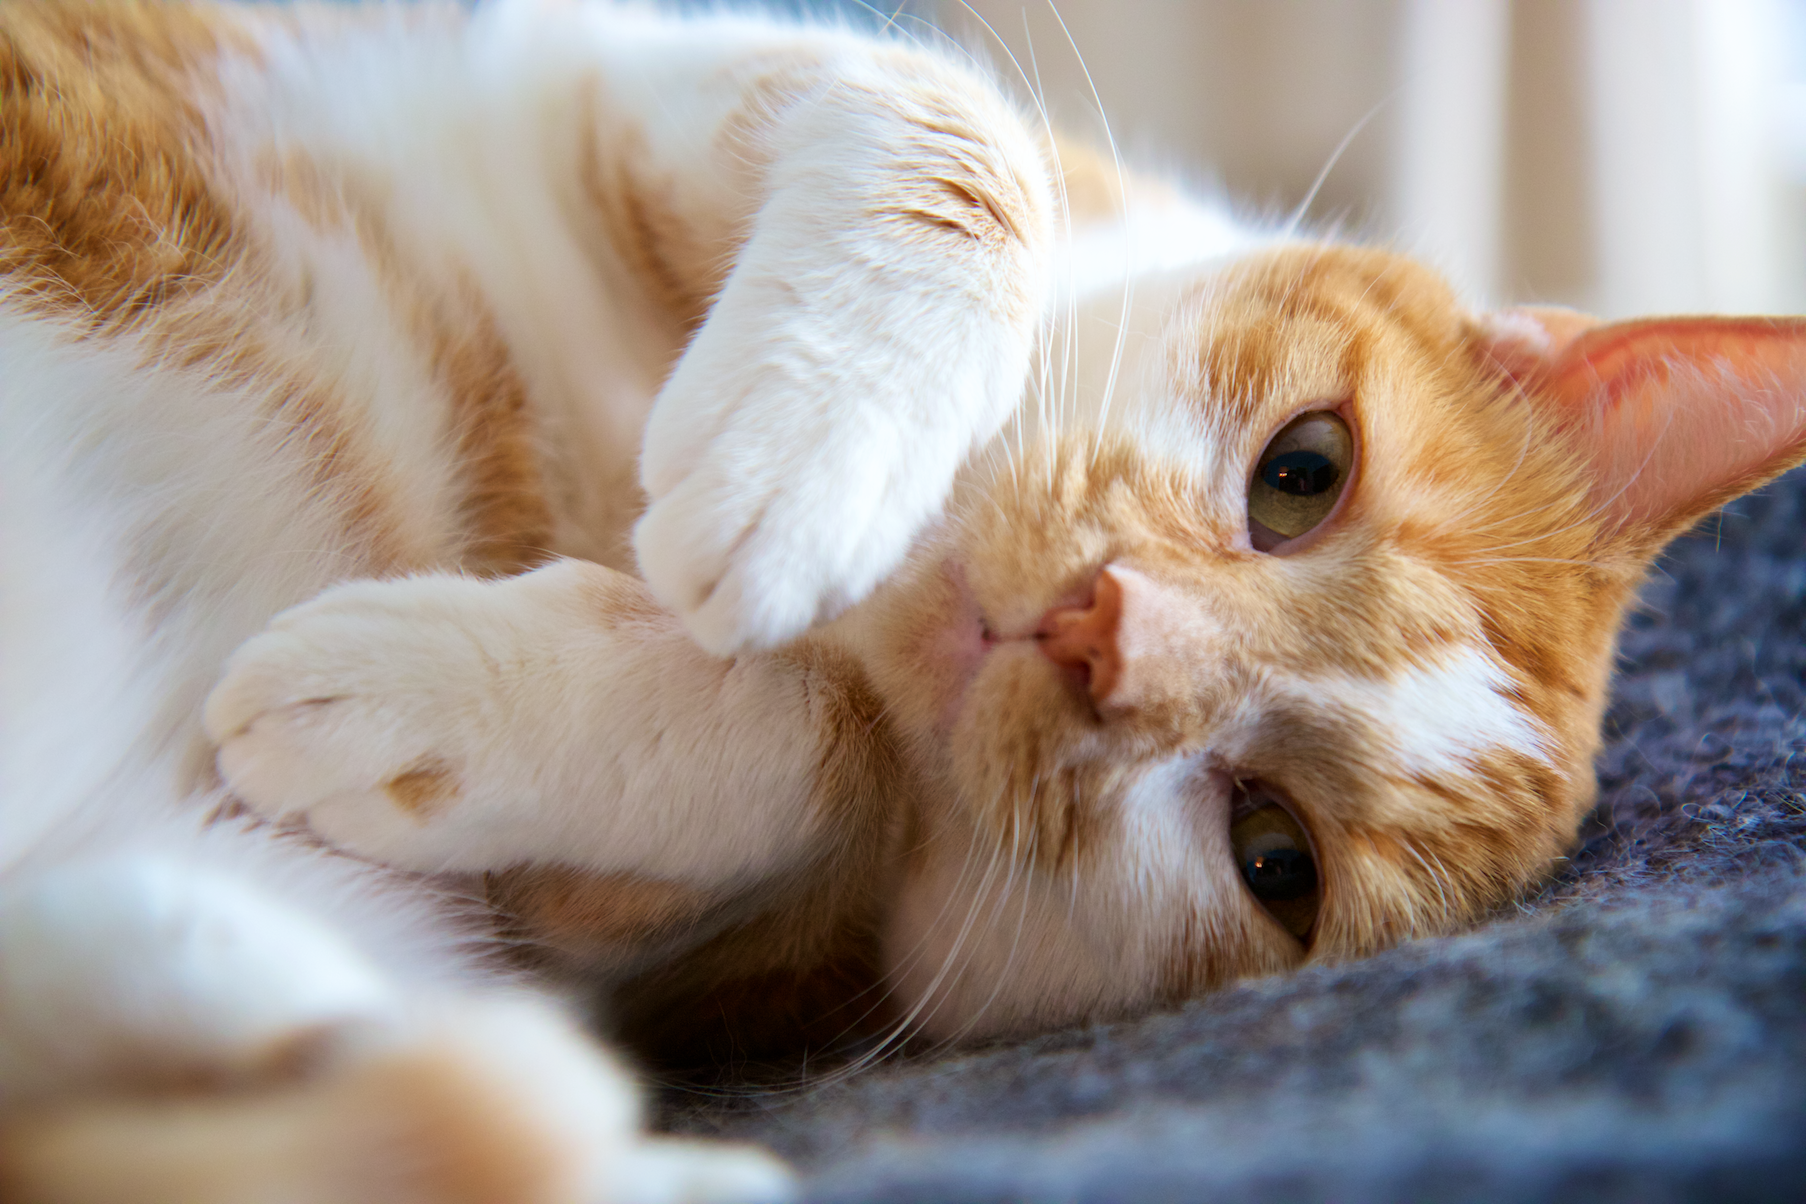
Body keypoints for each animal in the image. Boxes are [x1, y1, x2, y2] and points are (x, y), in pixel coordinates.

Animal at [3, 2, 1806, 1204]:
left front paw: (450, 693)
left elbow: (822, 744)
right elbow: (952, 126)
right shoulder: (569, 78)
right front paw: (807, 448)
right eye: (1305, 472)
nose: (1101, 634)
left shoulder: (648, 932)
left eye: (1273, 855)